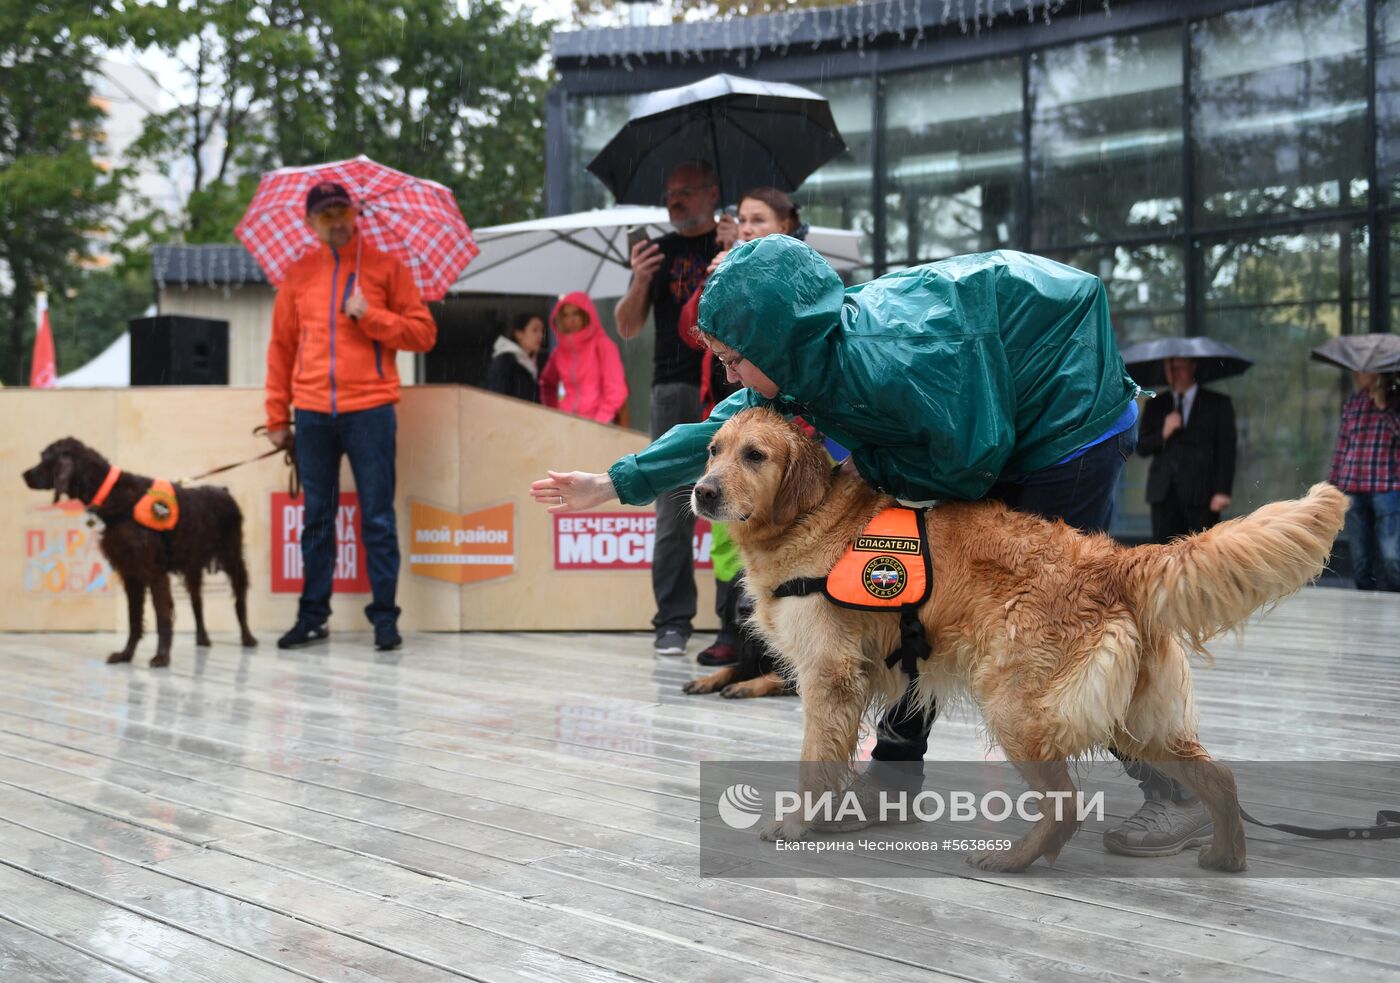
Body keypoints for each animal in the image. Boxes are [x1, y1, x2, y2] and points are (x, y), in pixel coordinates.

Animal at [23, 439, 260, 669]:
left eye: (44, 458)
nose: (24, 474)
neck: (114, 494)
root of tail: (224, 491)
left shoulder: (153, 571)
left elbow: (162, 615)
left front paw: (161, 657)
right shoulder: (131, 573)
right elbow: (134, 618)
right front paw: (126, 654)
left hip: (232, 558)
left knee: (239, 600)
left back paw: (248, 637)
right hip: (192, 566)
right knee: (197, 601)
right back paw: (202, 638)